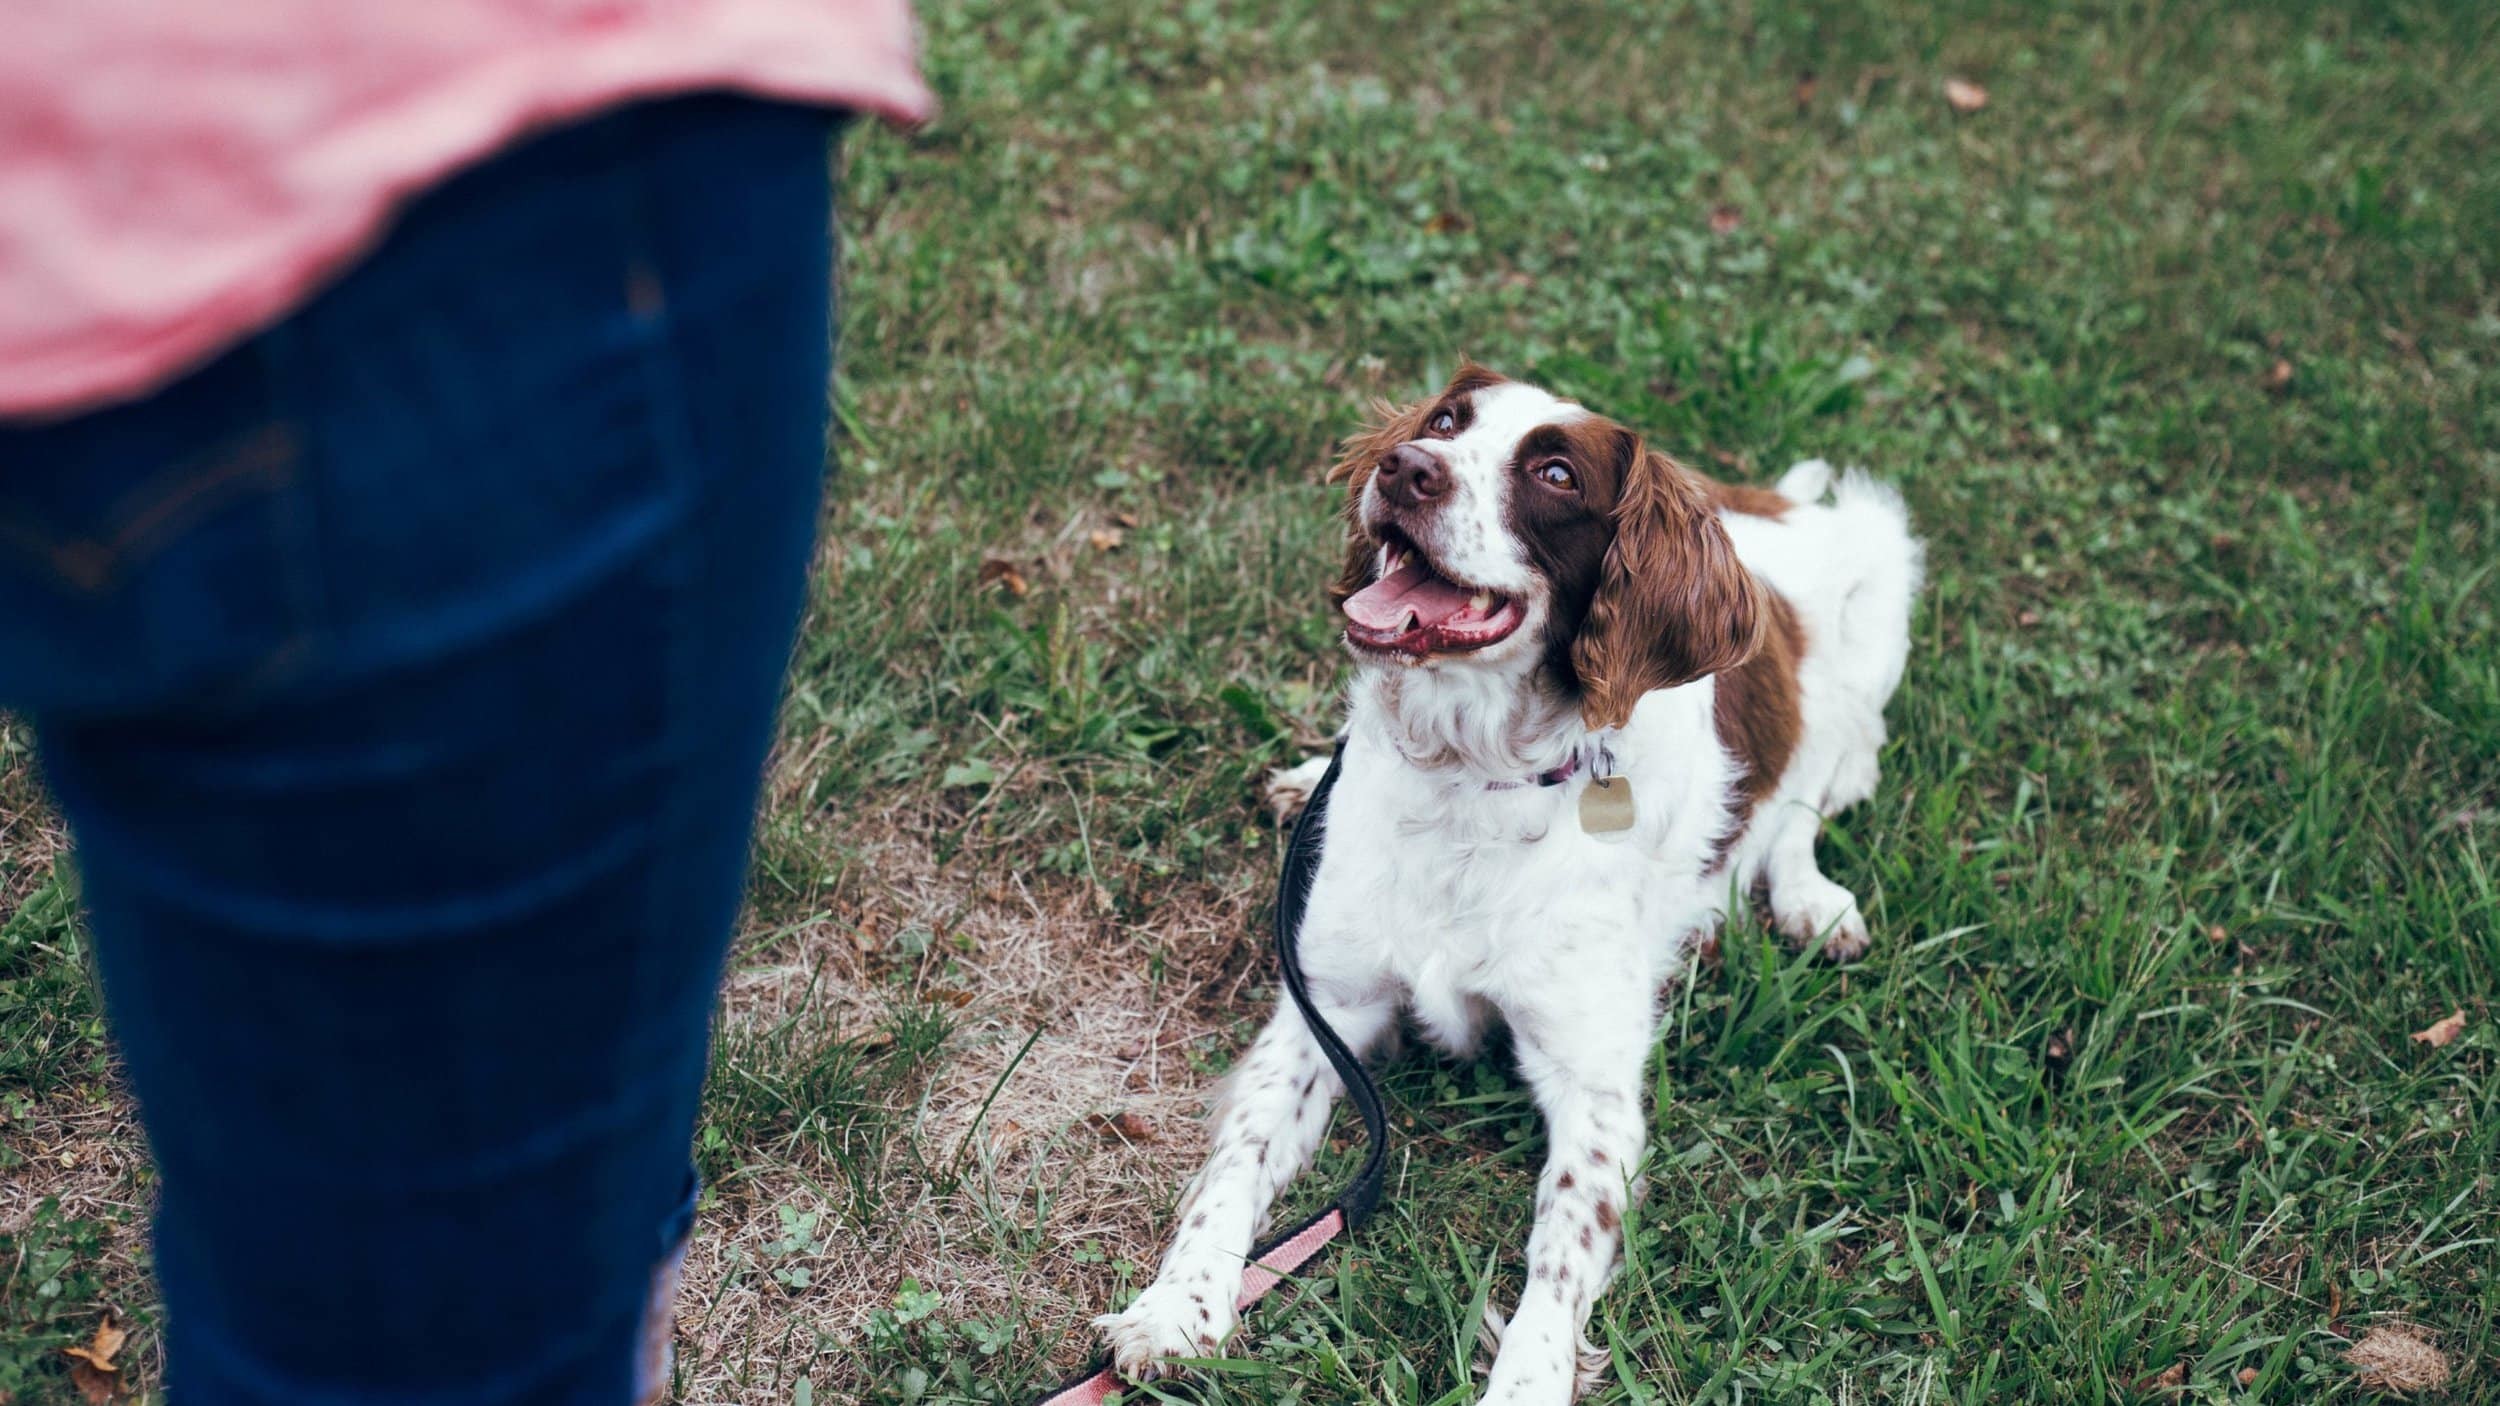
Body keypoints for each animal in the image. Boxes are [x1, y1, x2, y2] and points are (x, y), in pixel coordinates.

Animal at [1095, 362, 1910, 1400]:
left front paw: (1525, 1381)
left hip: (1879, 585)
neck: (1468, 777)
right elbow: (1234, 1168)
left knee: (1811, 790)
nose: (1406, 468)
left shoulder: (1593, 1088)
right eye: (1447, 422)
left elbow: (1556, 1259)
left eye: (1556, 474)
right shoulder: (1328, 1009)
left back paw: (1810, 900)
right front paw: (1176, 1308)